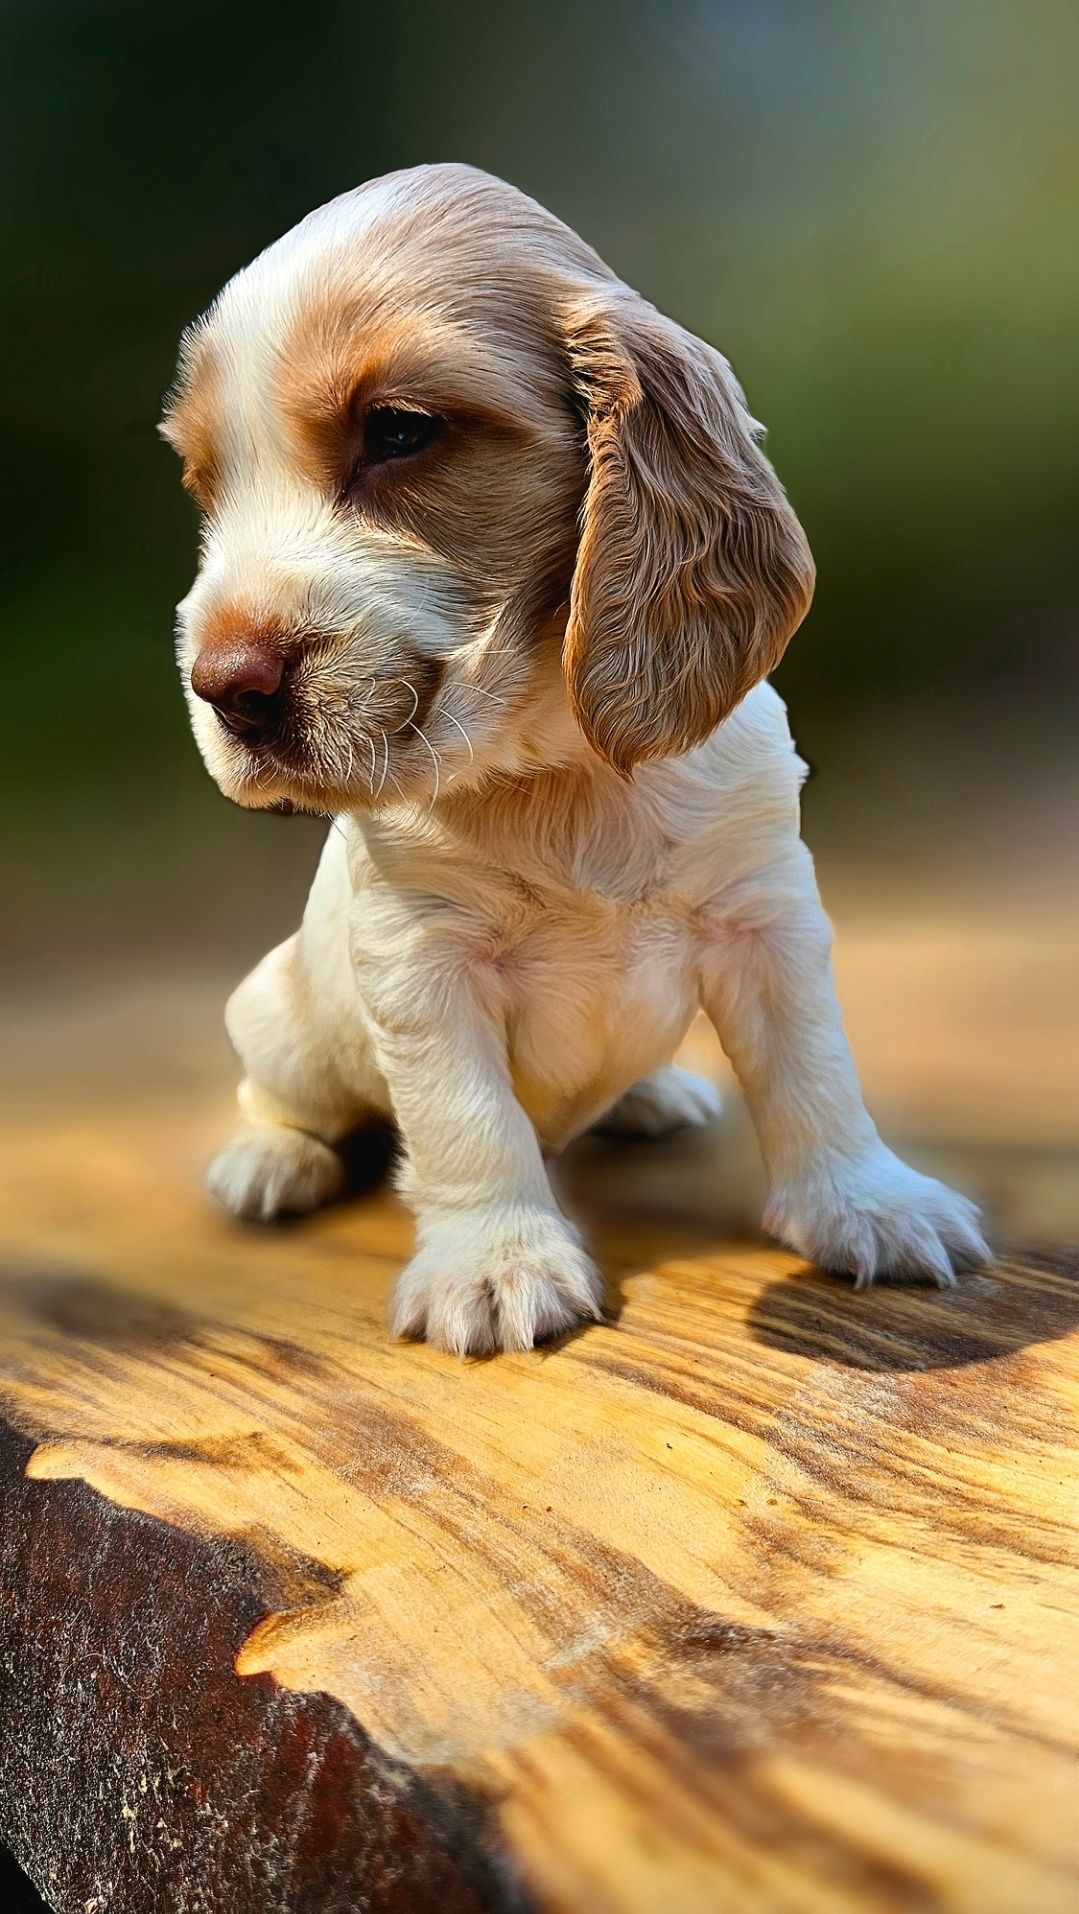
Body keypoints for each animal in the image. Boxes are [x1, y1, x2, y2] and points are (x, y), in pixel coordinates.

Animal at [159, 168, 987, 1362]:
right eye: (204, 486)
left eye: (398, 430)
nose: (224, 686)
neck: (557, 767)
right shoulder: (421, 962)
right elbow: (468, 1122)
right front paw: (496, 1263)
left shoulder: (765, 914)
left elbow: (814, 1071)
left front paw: (866, 1202)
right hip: (277, 1017)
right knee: (284, 1099)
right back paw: (271, 1159)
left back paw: (647, 1095)